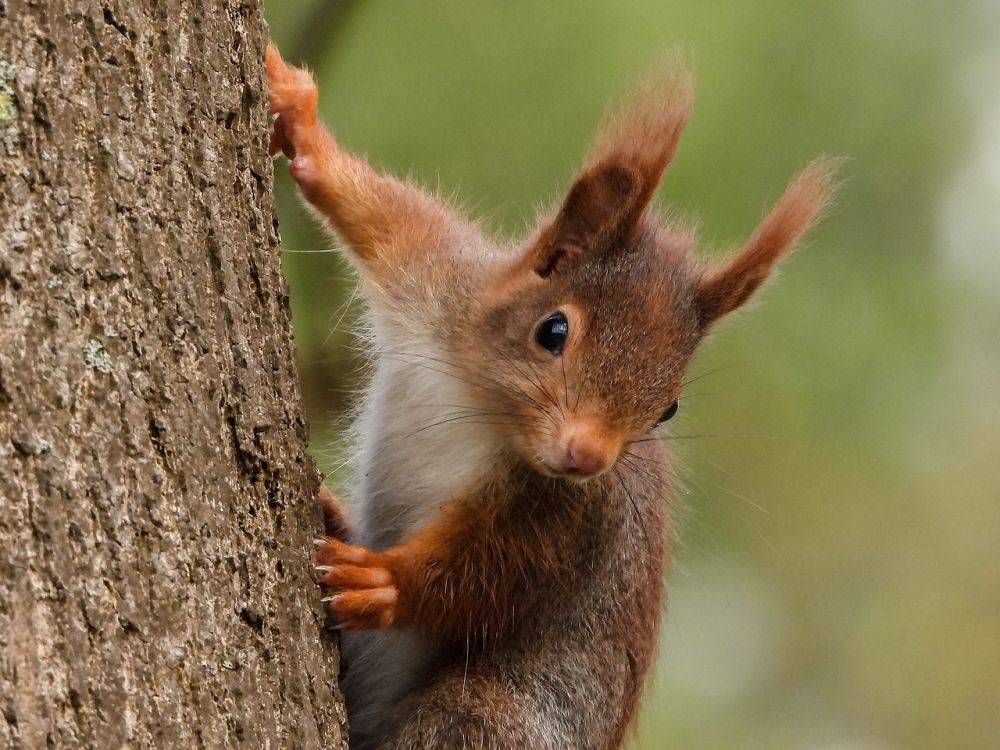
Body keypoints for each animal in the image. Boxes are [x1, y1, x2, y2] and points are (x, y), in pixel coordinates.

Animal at [266, 44, 836, 748]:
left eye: (669, 407)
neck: (481, 401)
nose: (588, 458)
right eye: (553, 330)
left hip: (486, 716)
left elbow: (490, 579)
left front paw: (385, 582)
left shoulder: (573, 519)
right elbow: (377, 210)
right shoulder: (436, 277)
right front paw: (299, 116)